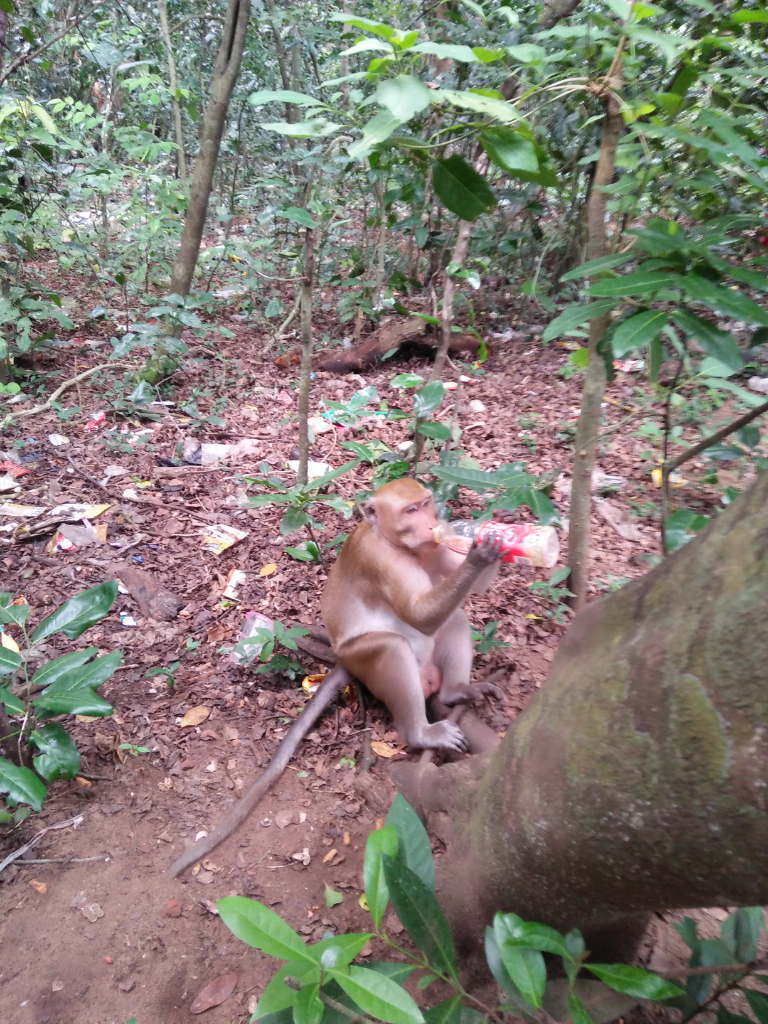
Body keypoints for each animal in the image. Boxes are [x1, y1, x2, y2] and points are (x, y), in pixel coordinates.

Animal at [319, 479, 505, 753]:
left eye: (425, 504)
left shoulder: (436, 543)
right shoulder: (380, 560)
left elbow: (476, 586)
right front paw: (478, 555)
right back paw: (420, 734)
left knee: (455, 618)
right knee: (392, 646)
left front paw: (500, 525)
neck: (397, 544)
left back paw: (455, 691)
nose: (430, 524)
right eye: (410, 511)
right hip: (357, 660)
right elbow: (420, 617)